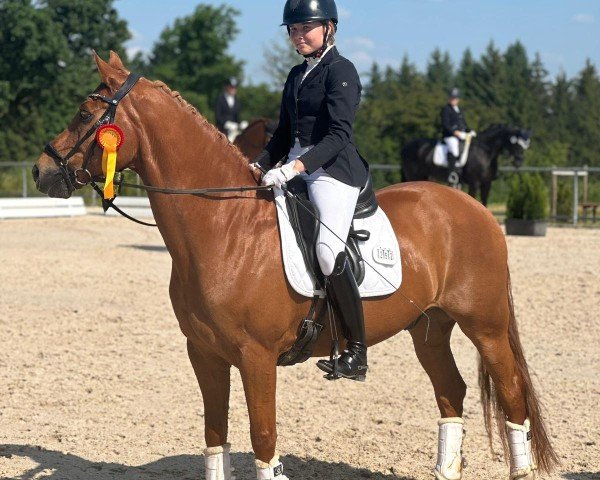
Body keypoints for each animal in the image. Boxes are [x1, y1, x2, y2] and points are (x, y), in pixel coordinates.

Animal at [400, 124, 532, 205]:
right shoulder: (474, 182)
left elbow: (484, 202)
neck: (485, 152)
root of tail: (406, 146)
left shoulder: (486, 183)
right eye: (514, 142)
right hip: (413, 176)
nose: (519, 161)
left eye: (524, 144)